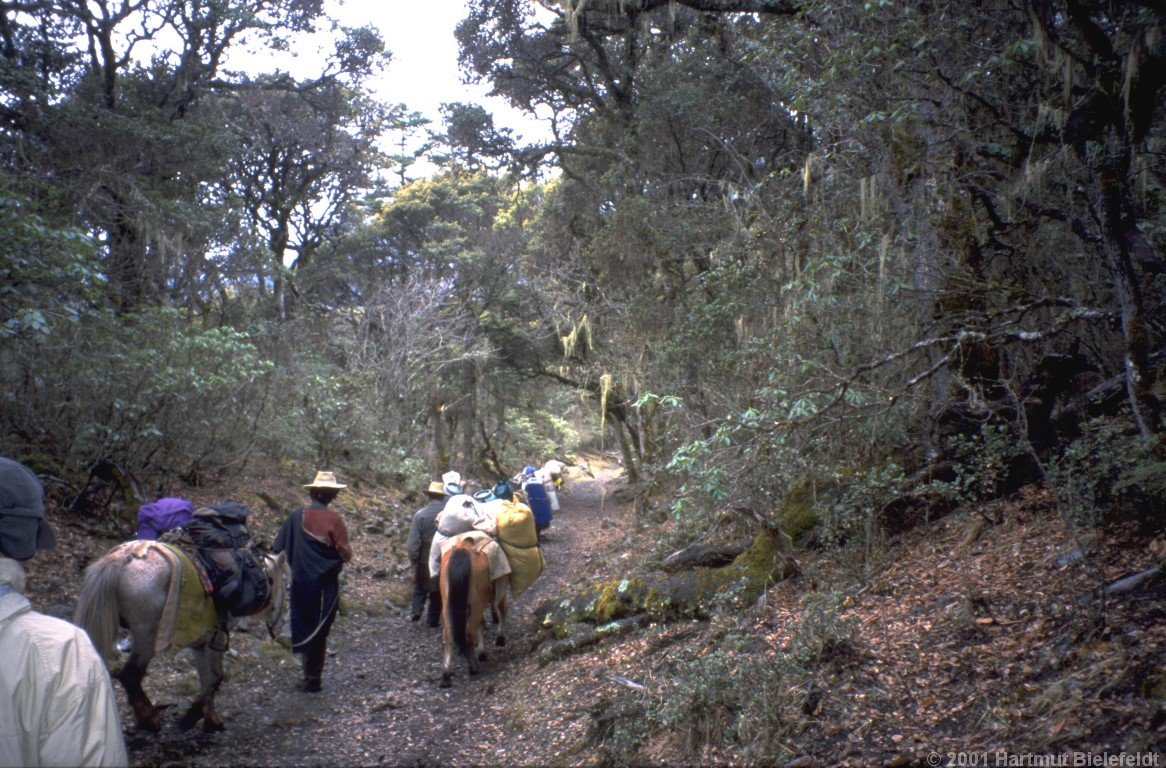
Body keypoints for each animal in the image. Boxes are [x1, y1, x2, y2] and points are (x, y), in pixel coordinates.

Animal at [73, 540, 286, 731]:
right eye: (285, 586)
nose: (279, 628)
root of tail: (121, 559)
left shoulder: (200, 643)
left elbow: (207, 678)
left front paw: (210, 719)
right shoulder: (215, 640)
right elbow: (216, 677)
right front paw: (193, 717)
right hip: (147, 640)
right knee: (130, 675)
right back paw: (150, 719)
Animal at [438, 533, 508, 689]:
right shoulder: (499, 591)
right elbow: (501, 612)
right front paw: (499, 639)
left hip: (448, 605)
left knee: (449, 634)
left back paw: (446, 675)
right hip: (475, 604)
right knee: (469, 632)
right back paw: (473, 667)